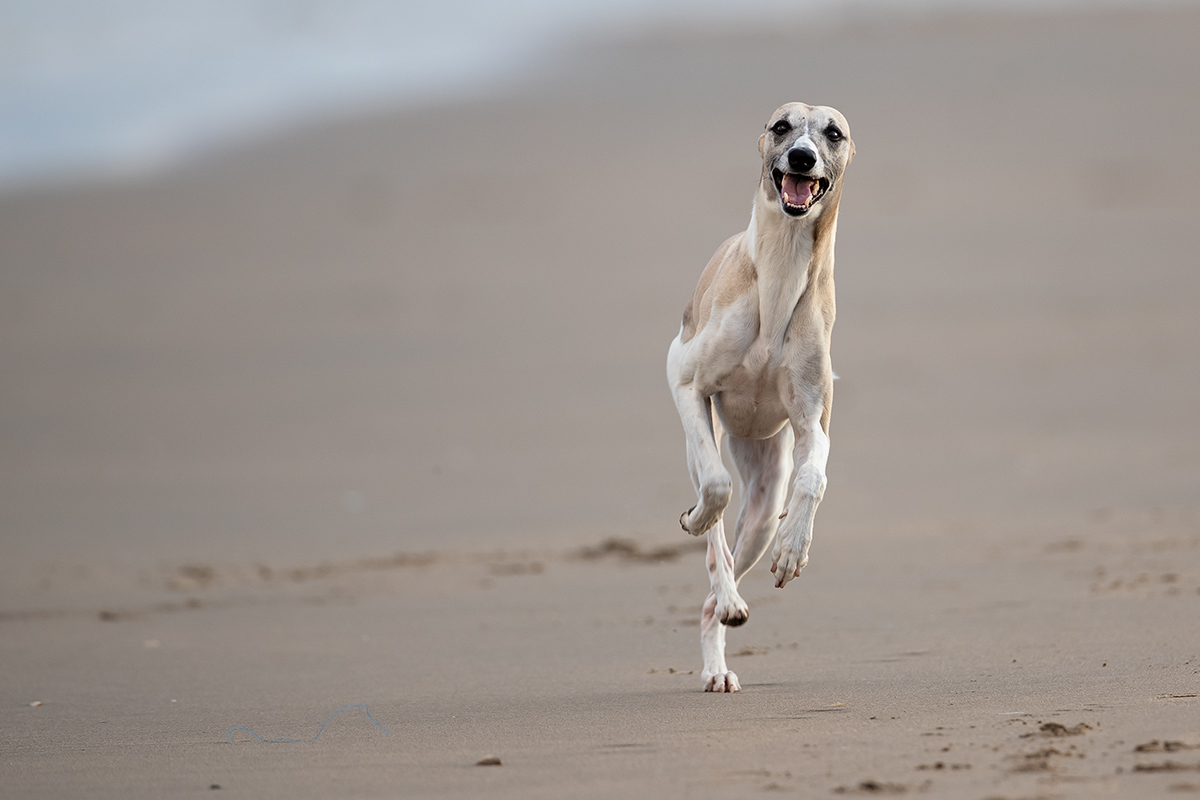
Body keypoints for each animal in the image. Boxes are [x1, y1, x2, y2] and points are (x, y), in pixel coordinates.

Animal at [667, 101, 854, 695]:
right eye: (782, 126)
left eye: (833, 133)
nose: (802, 157)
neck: (780, 272)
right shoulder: (683, 379)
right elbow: (716, 487)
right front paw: (696, 519)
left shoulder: (814, 418)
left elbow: (815, 477)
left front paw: (794, 549)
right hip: (703, 435)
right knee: (716, 535)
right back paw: (723, 589)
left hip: (766, 494)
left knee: (716, 592)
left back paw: (719, 656)